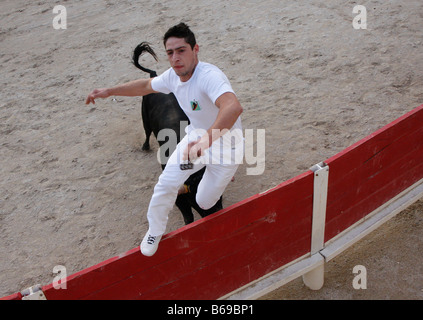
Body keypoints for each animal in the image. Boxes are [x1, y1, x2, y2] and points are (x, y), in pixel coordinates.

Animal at [133, 42, 224, 225]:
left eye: (220, 198)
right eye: (197, 201)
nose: (219, 211)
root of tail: (154, 76)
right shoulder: (179, 198)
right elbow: (187, 215)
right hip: (144, 116)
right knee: (146, 132)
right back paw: (145, 147)